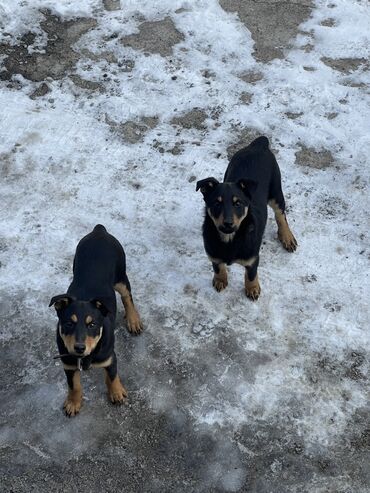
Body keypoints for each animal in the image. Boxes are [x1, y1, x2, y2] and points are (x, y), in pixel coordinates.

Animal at [49, 224, 142, 416]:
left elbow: (112, 376)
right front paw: (73, 403)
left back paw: (133, 321)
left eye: (92, 324)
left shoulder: (110, 356)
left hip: (121, 276)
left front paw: (116, 393)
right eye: (68, 323)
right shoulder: (68, 363)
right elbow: (74, 385)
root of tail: (99, 230)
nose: (79, 348)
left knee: (127, 296)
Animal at [197, 135, 298, 300]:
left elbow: (251, 275)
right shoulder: (212, 253)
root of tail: (259, 144)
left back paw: (287, 237)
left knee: (281, 215)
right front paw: (220, 280)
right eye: (217, 203)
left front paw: (252, 289)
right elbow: (217, 267)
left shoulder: (253, 258)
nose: (228, 223)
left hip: (276, 191)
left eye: (238, 203)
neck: (229, 239)